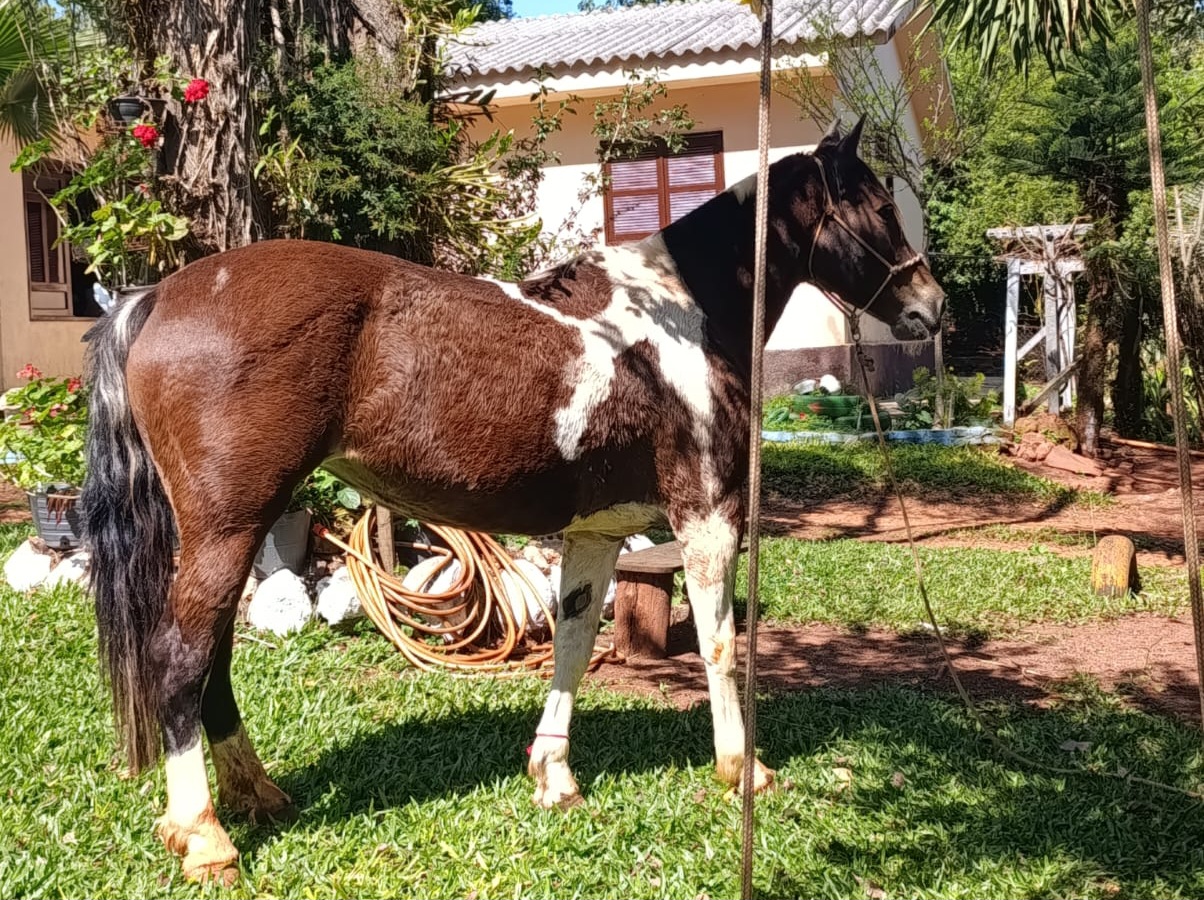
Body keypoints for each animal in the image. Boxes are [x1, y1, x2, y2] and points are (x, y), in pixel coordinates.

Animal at [80, 118, 943, 883]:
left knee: (213, 662)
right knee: (182, 660)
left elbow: (574, 643)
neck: (682, 313)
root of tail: (155, 295)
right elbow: (721, 644)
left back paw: (254, 794)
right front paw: (744, 770)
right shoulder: (706, 513)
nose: (931, 307)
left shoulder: (596, 533)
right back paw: (204, 837)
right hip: (227, 530)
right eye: (874, 204)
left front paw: (554, 777)